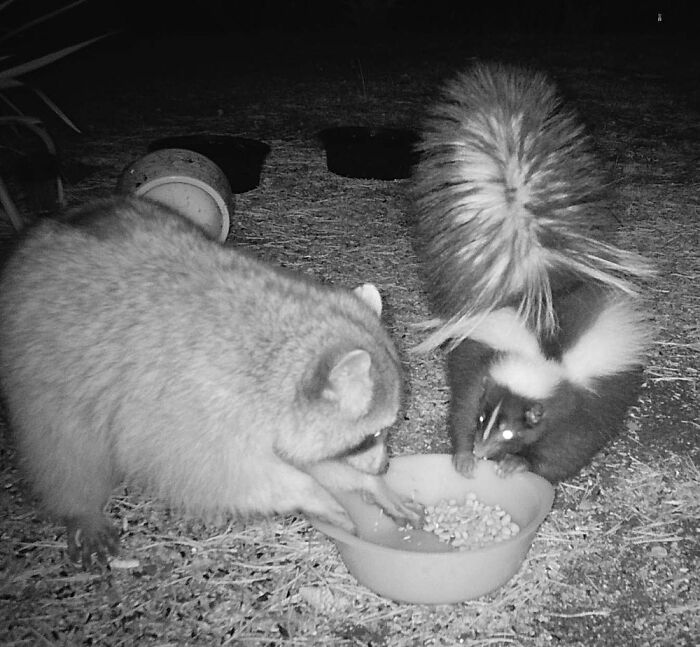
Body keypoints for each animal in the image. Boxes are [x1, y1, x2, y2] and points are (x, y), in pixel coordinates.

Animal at [0, 196, 419, 567]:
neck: (278, 350)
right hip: (42, 371)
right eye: (370, 435)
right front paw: (310, 491)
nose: (384, 468)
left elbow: (303, 457)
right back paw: (80, 507)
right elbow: (226, 475)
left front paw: (363, 484)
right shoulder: (192, 409)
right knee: (63, 448)